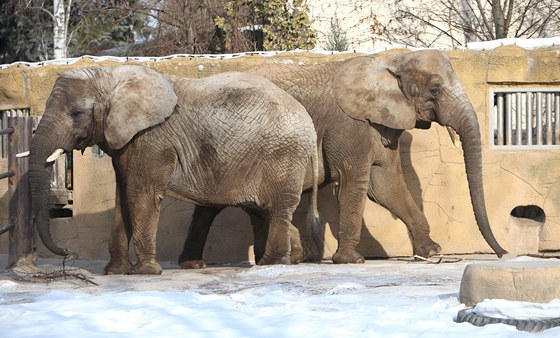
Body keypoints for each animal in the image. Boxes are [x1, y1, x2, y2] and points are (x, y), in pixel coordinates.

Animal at [29, 65, 320, 274]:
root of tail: (309, 121)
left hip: (283, 156)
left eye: (76, 113)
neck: (113, 75)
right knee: (260, 210)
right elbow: (122, 197)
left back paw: (272, 263)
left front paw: (145, 272)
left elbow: (141, 196)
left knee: (277, 208)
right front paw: (115, 272)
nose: (67, 252)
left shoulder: (152, 141)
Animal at [179, 49, 508, 266]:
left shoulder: (380, 124)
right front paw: (351, 260)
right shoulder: (349, 125)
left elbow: (386, 185)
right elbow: (355, 181)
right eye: (435, 89)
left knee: (221, 204)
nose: (503, 253)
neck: (388, 61)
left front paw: (431, 252)